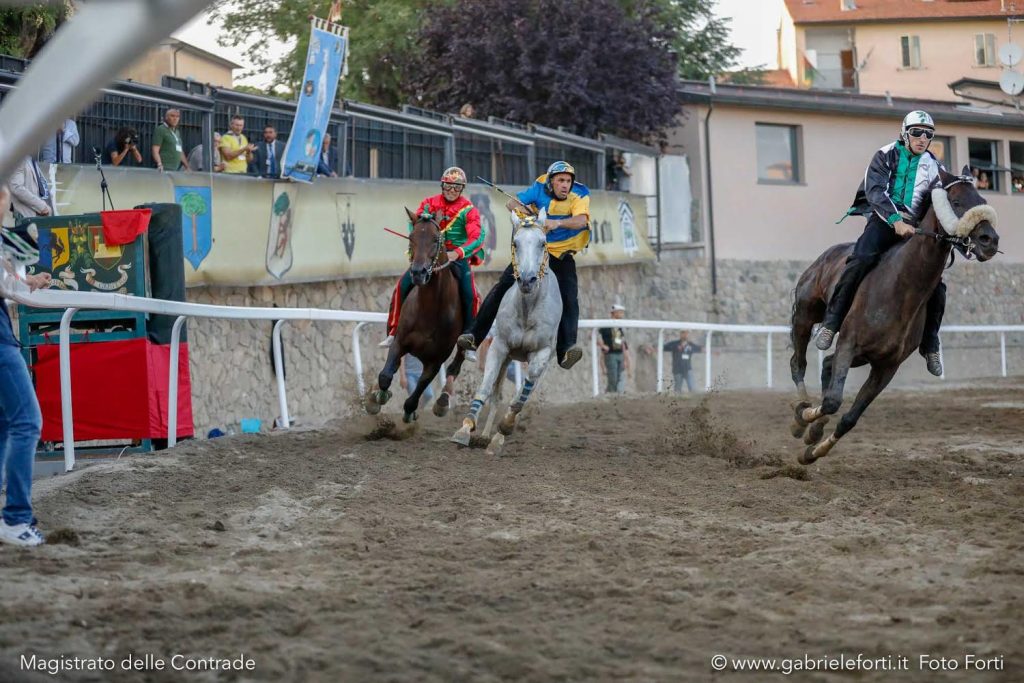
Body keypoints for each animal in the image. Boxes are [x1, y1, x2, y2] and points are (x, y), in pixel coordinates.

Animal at [364, 208, 468, 421]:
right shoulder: (400, 341)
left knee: (456, 365)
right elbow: (386, 375)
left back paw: (443, 400)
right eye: (411, 237)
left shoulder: (436, 360)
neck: (429, 310)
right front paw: (377, 398)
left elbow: (418, 390)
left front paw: (409, 411)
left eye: (436, 239)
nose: (418, 272)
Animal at [448, 208, 561, 454]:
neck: (527, 310)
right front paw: (465, 429)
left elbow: (520, 397)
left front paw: (505, 428)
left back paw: (497, 436)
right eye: (515, 243)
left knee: (519, 395)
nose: (527, 280)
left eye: (543, 243)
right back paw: (484, 435)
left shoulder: (541, 354)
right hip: (508, 356)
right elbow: (485, 388)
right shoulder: (500, 346)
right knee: (496, 394)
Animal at [790, 165, 999, 464]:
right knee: (798, 362)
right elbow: (831, 402)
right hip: (806, 315)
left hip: (865, 354)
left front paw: (814, 449)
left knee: (828, 365)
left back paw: (813, 428)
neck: (901, 287)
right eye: (957, 202)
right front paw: (807, 418)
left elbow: (849, 417)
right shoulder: (849, 343)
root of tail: (824, 257)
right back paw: (801, 411)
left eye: (981, 198)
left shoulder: (886, 365)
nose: (989, 240)